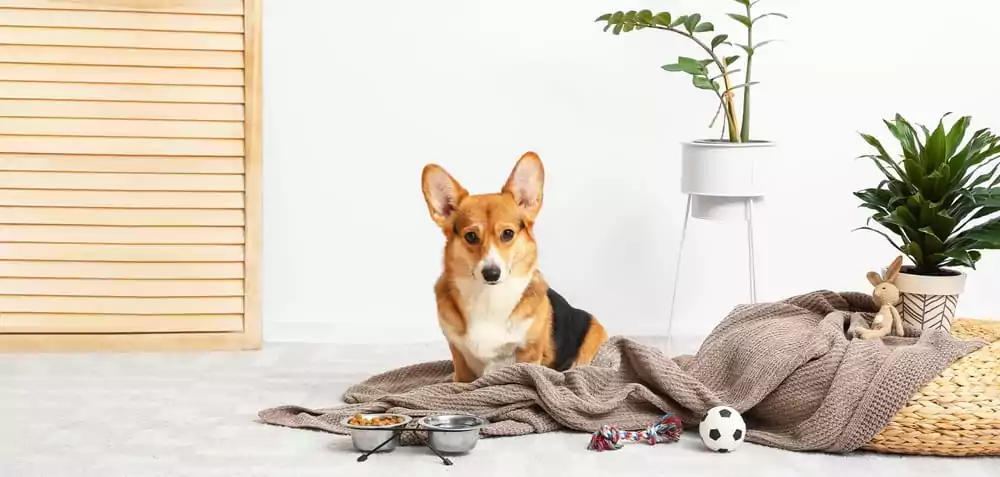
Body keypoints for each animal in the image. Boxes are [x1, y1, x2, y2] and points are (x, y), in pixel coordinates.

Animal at [418, 151, 604, 382]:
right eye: (471, 236)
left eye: (507, 234)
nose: (491, 273)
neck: (489, 298)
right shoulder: (459, 358)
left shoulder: (528, 354)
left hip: (593, 331)